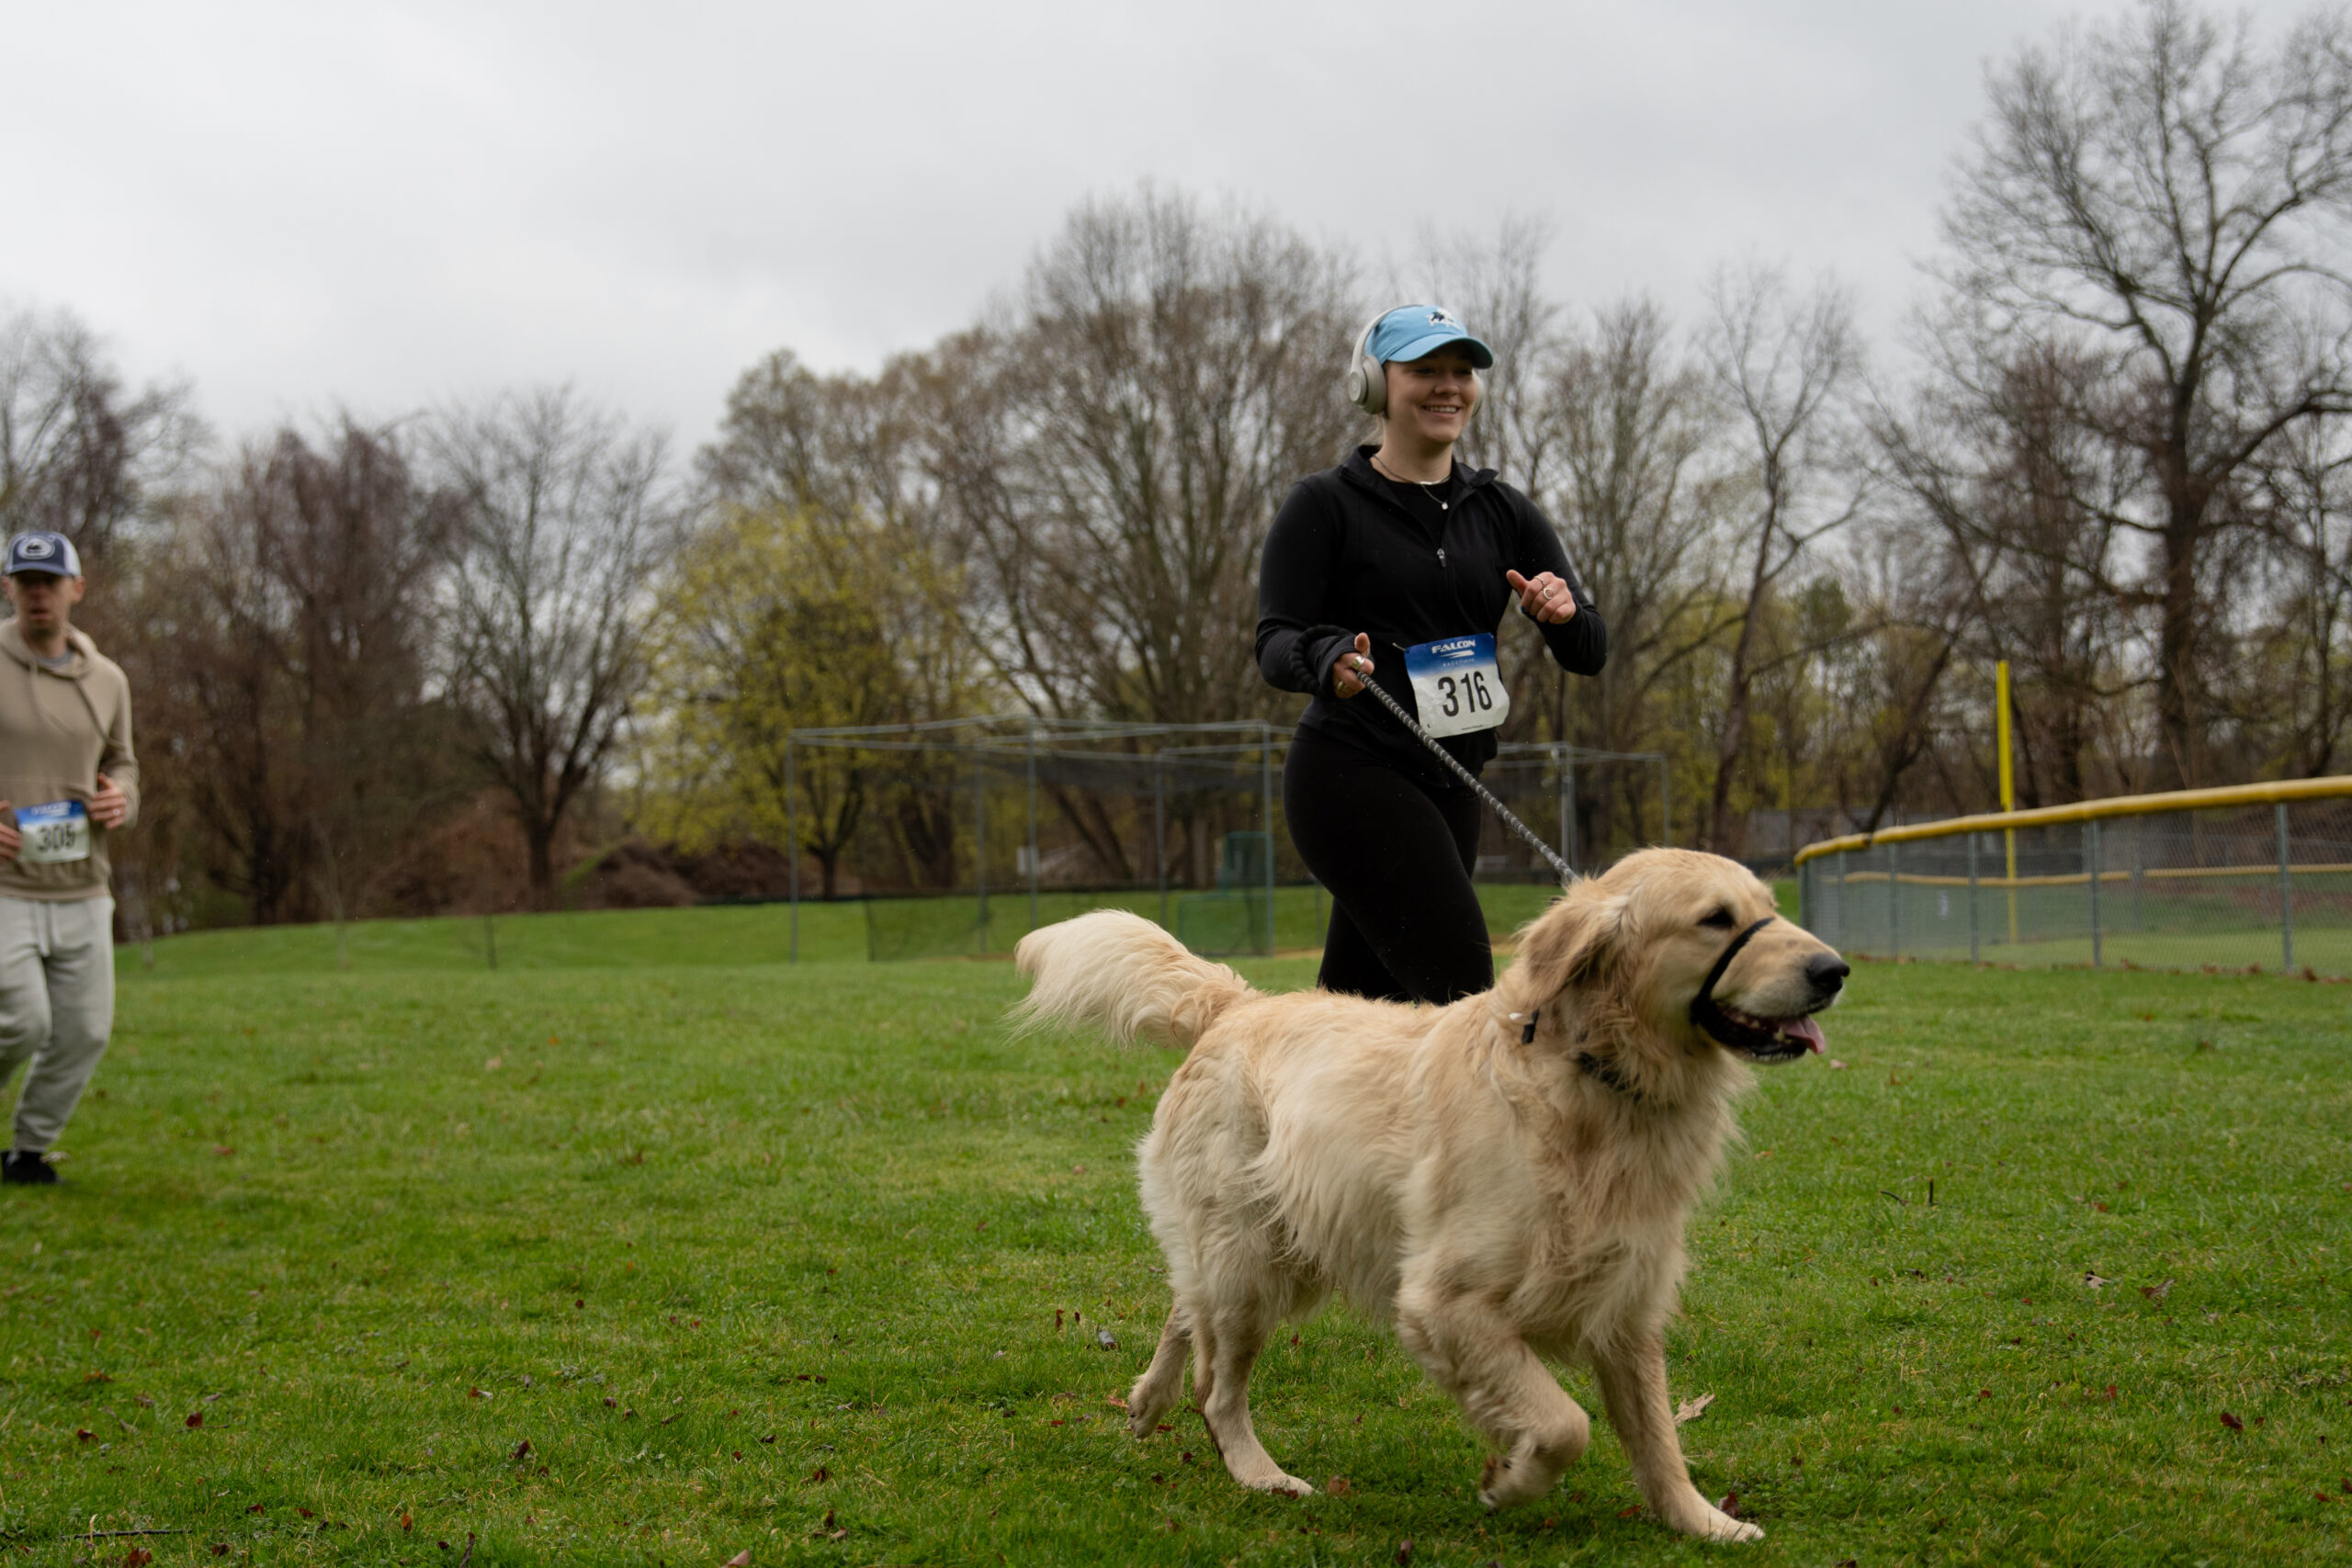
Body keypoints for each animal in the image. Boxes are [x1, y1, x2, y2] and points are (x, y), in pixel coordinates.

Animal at [1011, 847, 1847, 1543]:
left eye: (1768, 908)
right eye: (1716, 919)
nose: (1834, 969)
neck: (1590, 1079)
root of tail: (1239, 1005)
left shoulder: (1626, 1301)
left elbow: (1656, 1435)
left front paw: (1700, 1520)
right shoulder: (1444, 1302)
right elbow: (1565, 1423)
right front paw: (1512, 1479)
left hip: (1252, 1251)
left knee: (1186, 1312)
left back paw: (1145, 1403)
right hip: (1251, 1259)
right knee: (1217, 1385)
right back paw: (1261, 1474)